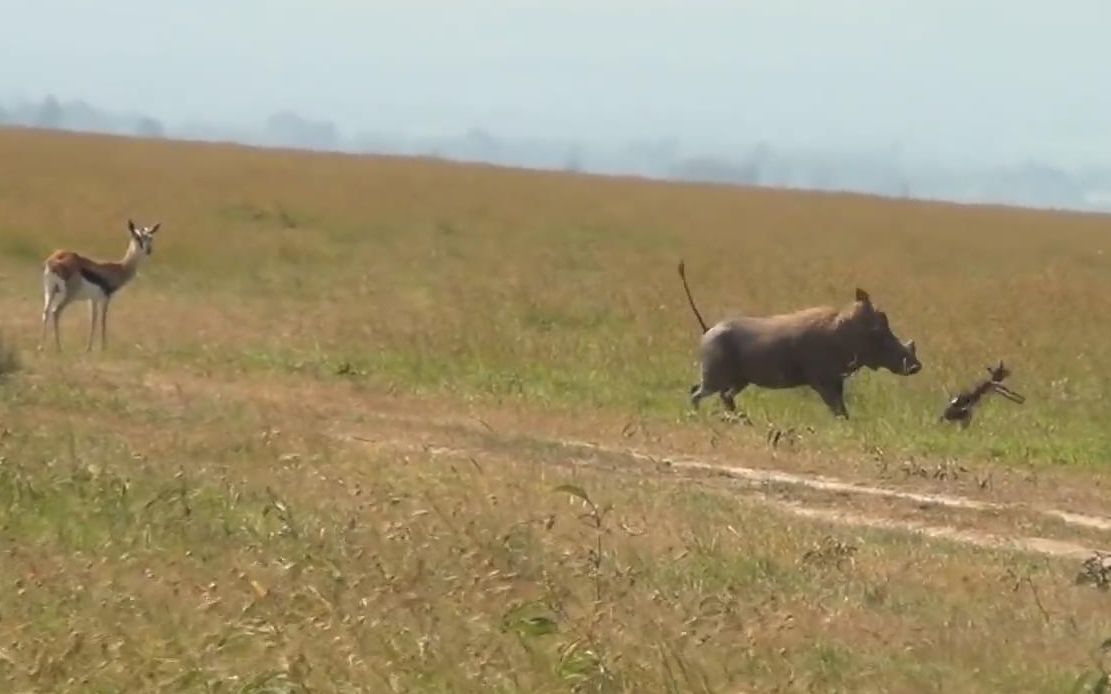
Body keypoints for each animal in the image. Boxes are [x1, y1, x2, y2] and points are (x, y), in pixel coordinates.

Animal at [38, 218, 162, 350]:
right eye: (137, 237)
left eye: (150, 238)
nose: (148, 251)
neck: (120, 268)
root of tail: (54, 260)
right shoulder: (106, 297)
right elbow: (103, 319)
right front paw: (104, 347)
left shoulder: (93, 299)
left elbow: (93, 320)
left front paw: (88, 348)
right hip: (68, 296)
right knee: (55, 311)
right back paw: (59, 348)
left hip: (49, 292)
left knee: (45, 312)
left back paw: (41, 347)